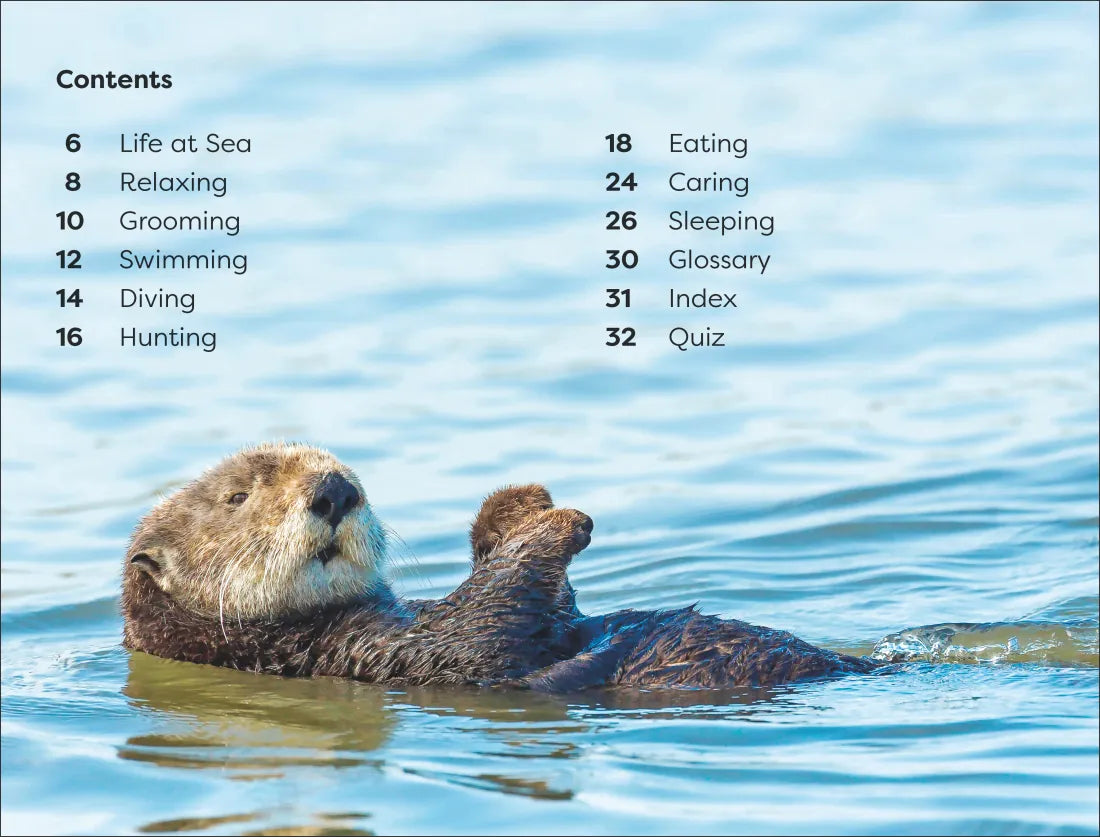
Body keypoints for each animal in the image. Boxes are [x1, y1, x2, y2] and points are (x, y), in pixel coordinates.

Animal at [122, 443, 878, 690]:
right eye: (238, 497)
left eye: (345, 468)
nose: (336, 489)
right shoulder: (378, 655)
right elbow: (491, 617)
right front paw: (558, 521)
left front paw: (519, 502)